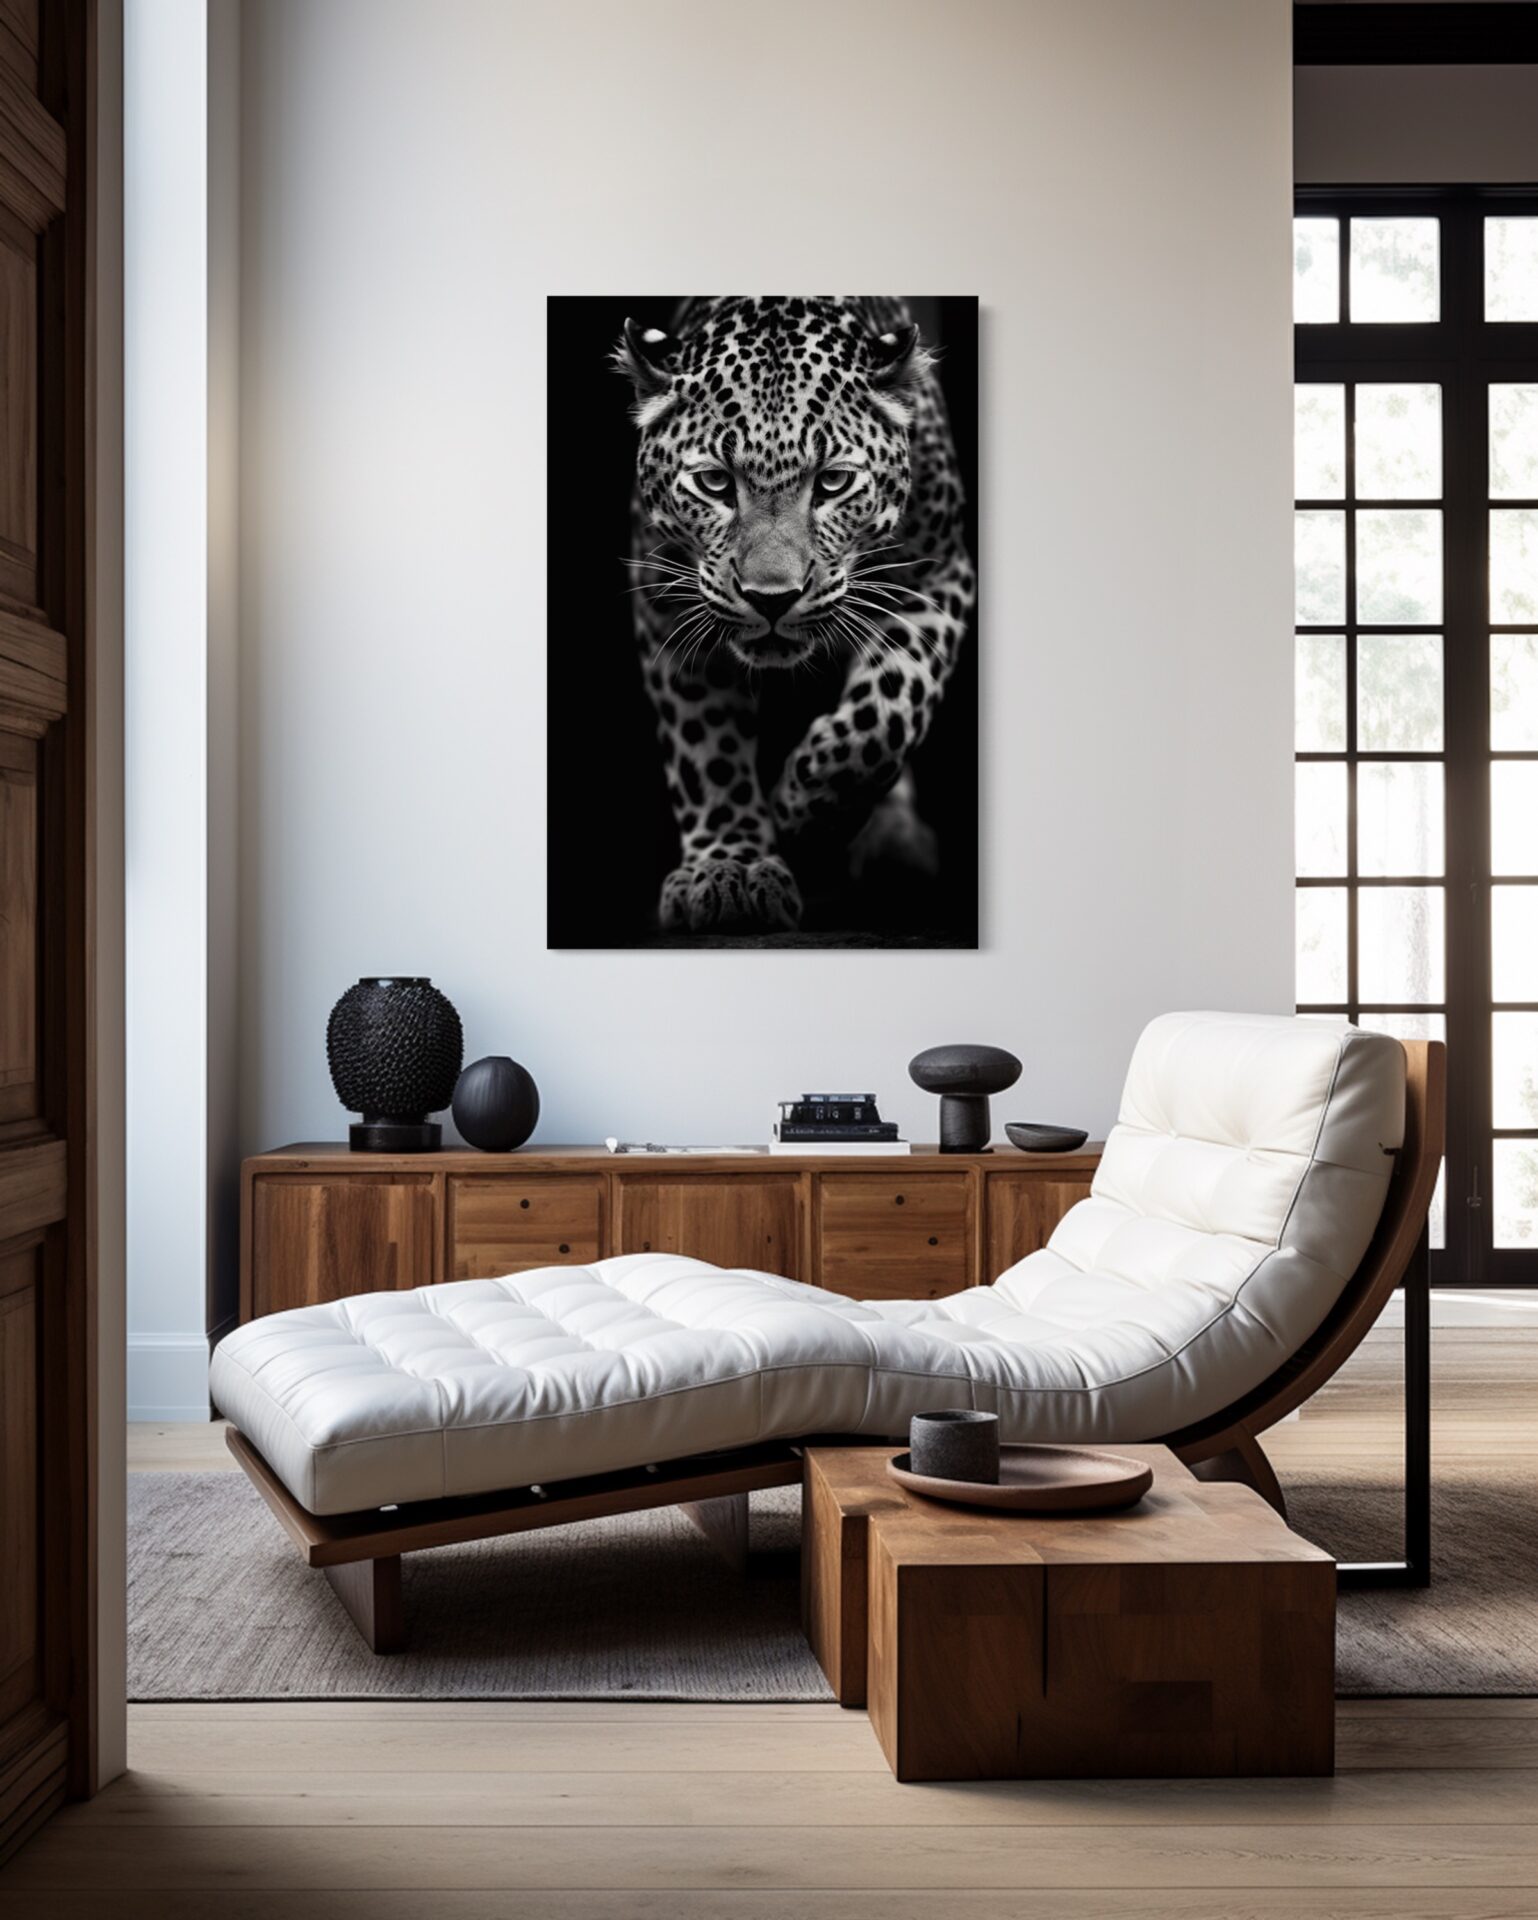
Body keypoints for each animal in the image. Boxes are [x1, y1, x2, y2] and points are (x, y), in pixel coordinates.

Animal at [615, 295, 975, 935]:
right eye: (715, 482)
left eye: (833, 482)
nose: (772, 597)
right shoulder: (667, 608)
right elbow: (706, 748)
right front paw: (729, 867)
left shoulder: (941, 575)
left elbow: (886, 713)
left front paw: (805, 811)